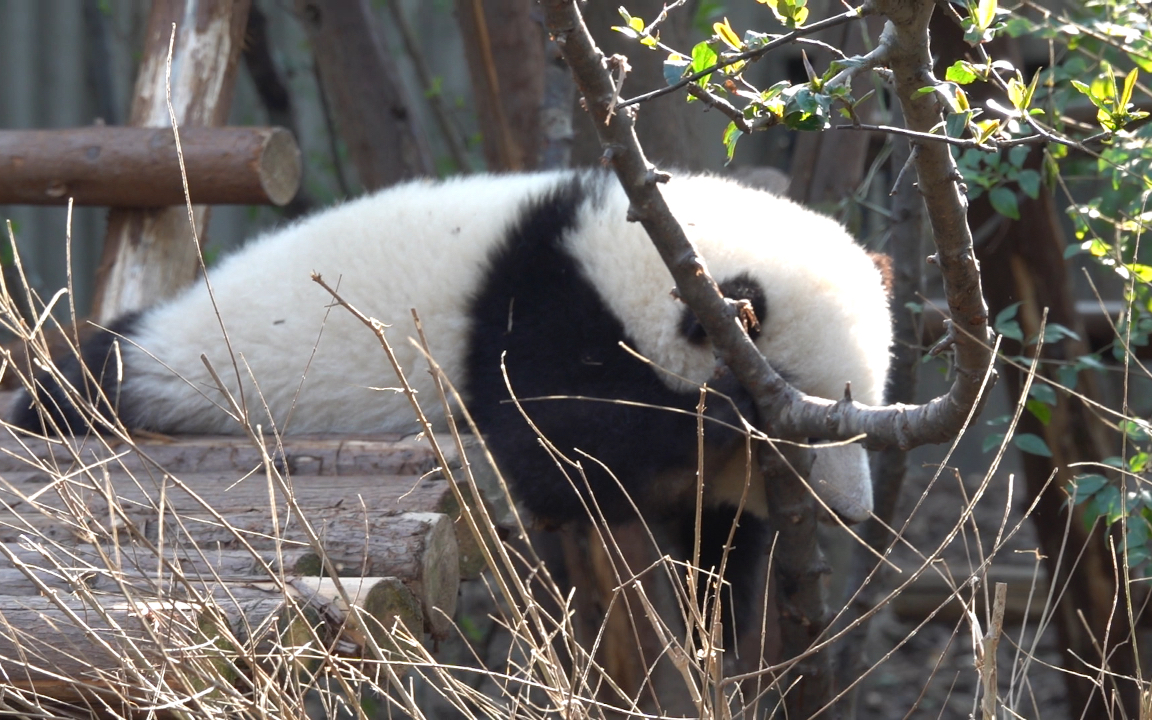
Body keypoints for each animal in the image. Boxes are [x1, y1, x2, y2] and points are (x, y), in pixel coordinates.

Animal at [9, 167, 889, 640]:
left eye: (870, 414)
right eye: (801, 432)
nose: (854, 512)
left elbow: (708, 523)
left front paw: (722, 609)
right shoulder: (539, 313)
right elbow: (554, 456)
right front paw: (722, 412)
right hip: (183, 367)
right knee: (86, 385)